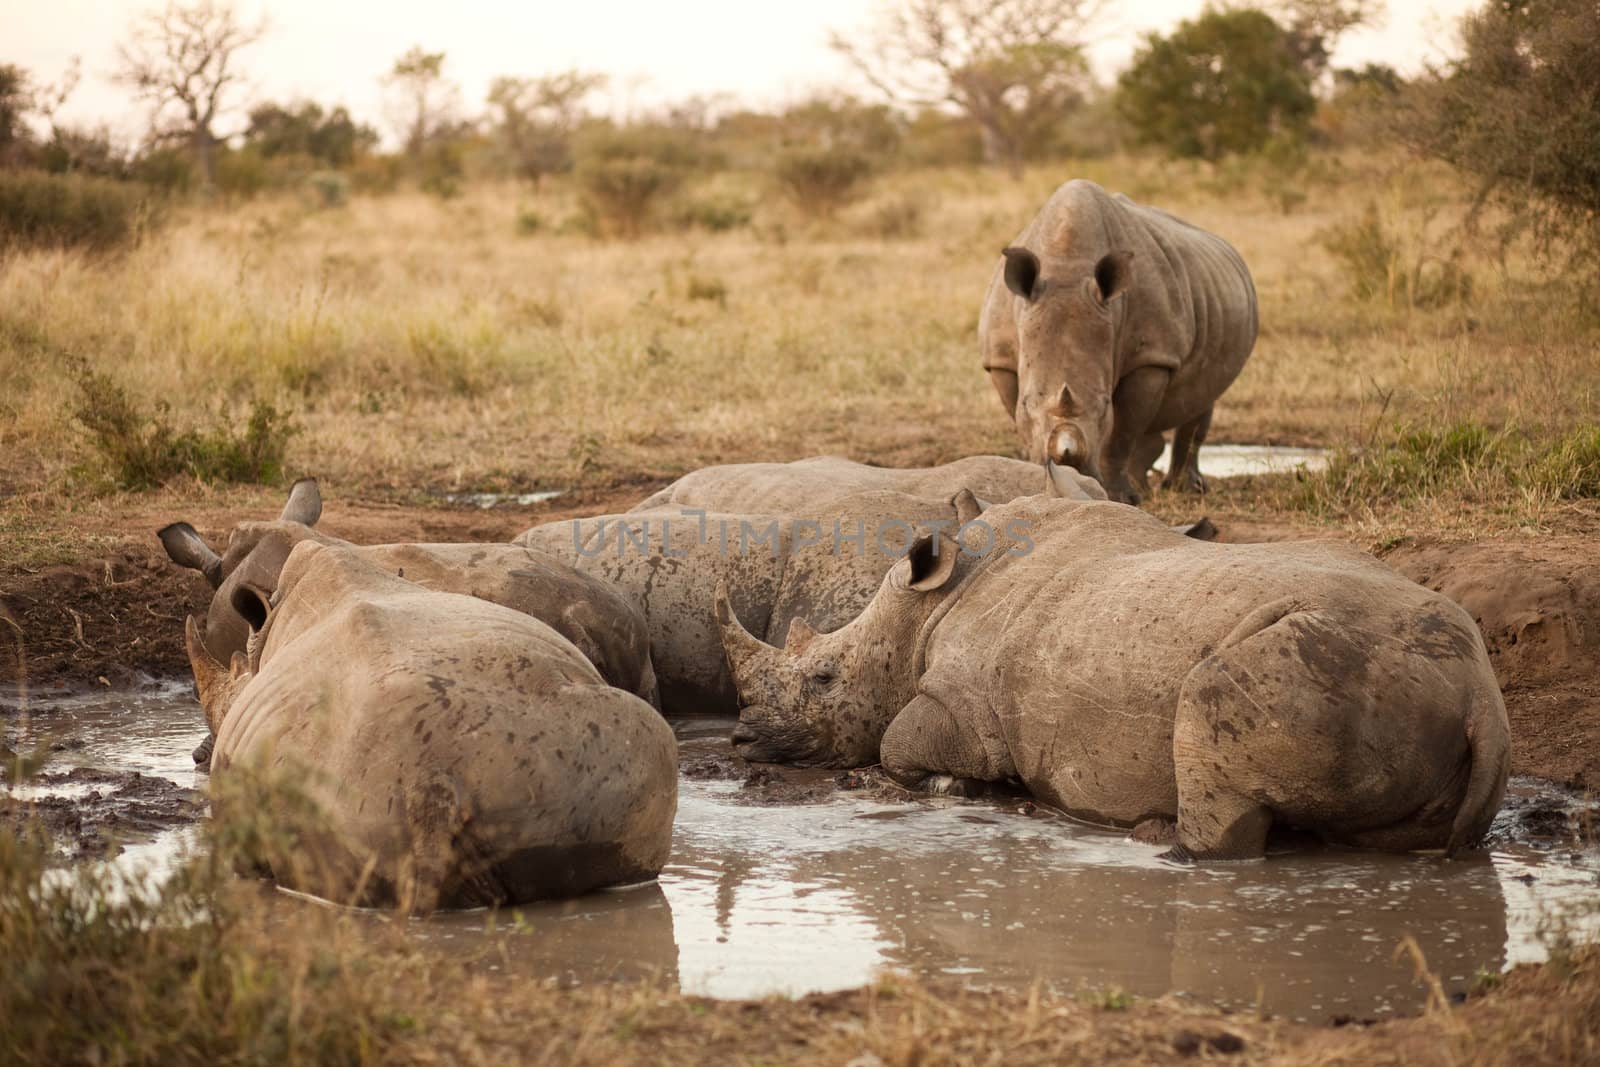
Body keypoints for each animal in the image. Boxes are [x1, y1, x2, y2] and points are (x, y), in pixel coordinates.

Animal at [716, 479, 1510, 863]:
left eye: (823, 680)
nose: (742, 738)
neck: (923, 611)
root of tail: (1479, 695)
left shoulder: (962, 710)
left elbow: (895, 743)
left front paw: (957, 788)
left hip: (1317, 659)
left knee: (1211, 701)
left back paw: (1157, 842)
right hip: (1401, 676)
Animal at [972, 179, 1260, 505]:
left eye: (1104, 405)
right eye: (1027, 401)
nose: (1067, 465)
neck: (1067, 267)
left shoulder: (1151, 356)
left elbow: (1122, 430)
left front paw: (1119, 498)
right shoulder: (1001, 360)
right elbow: (1020, 419)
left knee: (1203, 395)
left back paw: (1182, 489)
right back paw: (1146, 485)